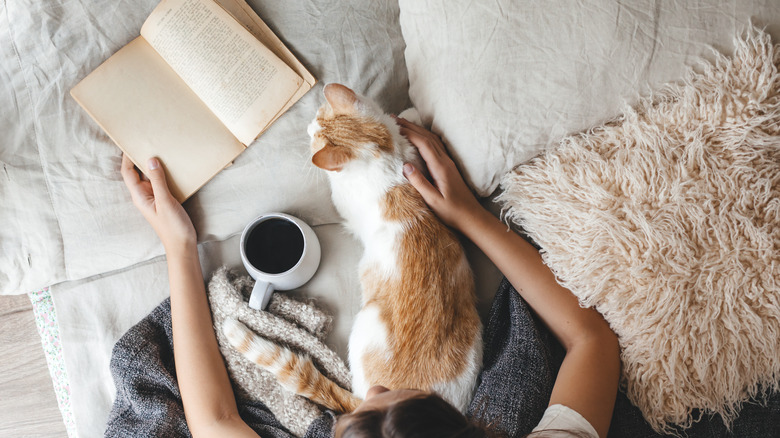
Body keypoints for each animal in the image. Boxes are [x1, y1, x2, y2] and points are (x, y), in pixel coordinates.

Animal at [225, 83, 482, 414]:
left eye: (316, 134)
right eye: (318, 116)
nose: (308, 128)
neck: (382, 155)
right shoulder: (415, 160)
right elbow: (408, 124)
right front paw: (408, 116)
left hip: (366, 323)